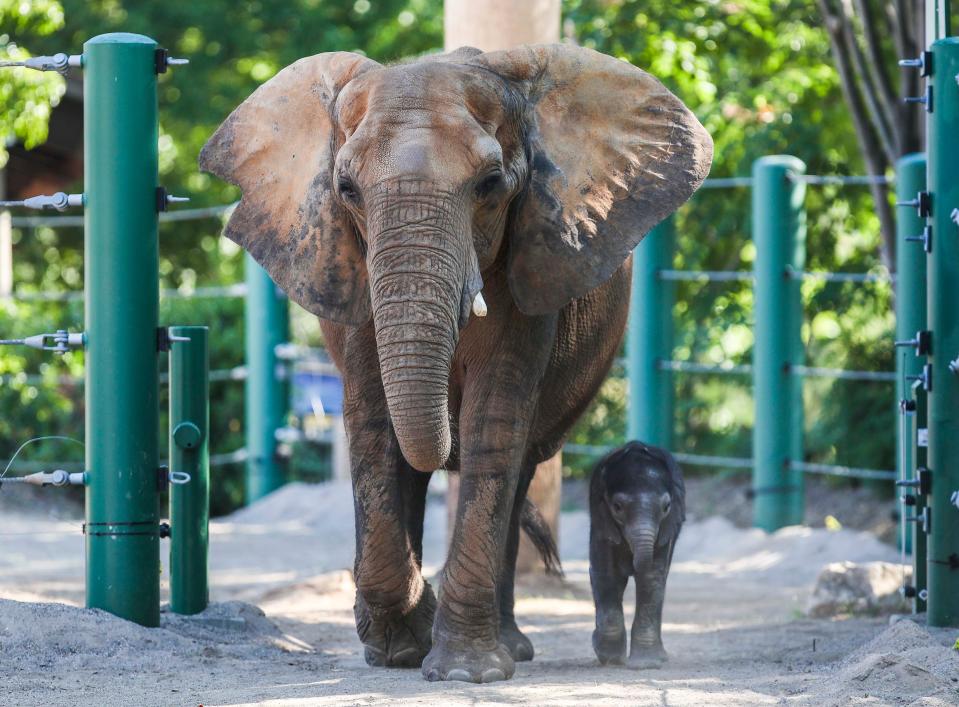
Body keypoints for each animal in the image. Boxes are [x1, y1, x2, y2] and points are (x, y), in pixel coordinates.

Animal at [588, 442, 688, 668]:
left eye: (666, 507)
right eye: (617, 507)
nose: (632, 566)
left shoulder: (666, 530)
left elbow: (651, 578)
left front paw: (647, 663)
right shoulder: (602, 523)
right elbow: (607, 575)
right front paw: (610, 659)